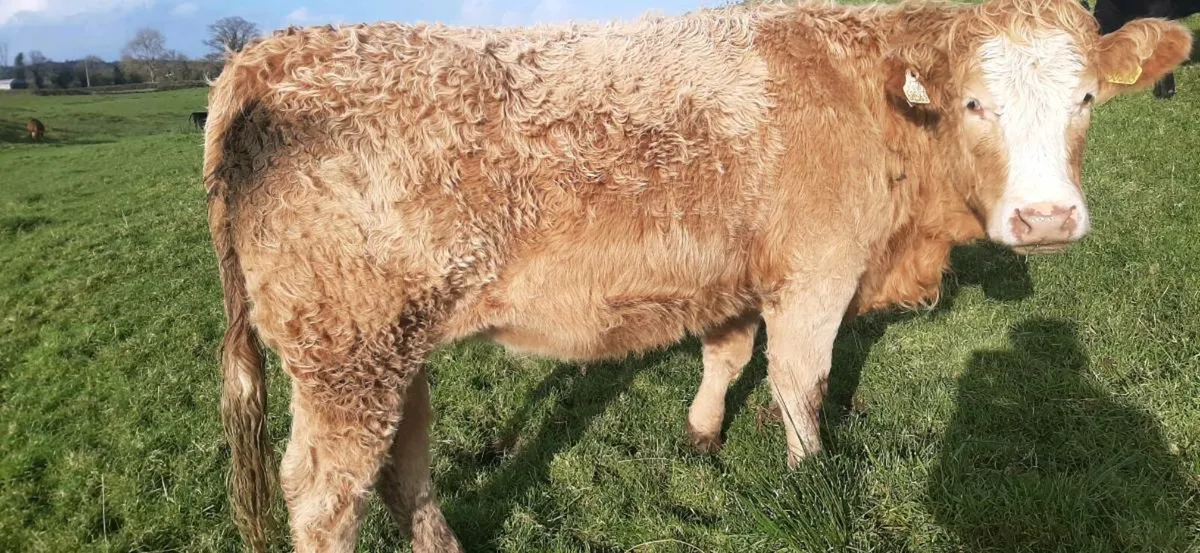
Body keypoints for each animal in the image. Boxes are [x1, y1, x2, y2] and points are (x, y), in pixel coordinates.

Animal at [202, 0, 1191, 550]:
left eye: (1087, 99)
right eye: (975, 103)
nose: (1047, 218)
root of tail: (264, 53)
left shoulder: (732, 271)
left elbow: (727, 354)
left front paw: (703, 434)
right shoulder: (816, 272)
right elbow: (801, 381)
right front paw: (808, 479)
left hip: (393, 347)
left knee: (402, 463)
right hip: (346, 353)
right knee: (326, 493)